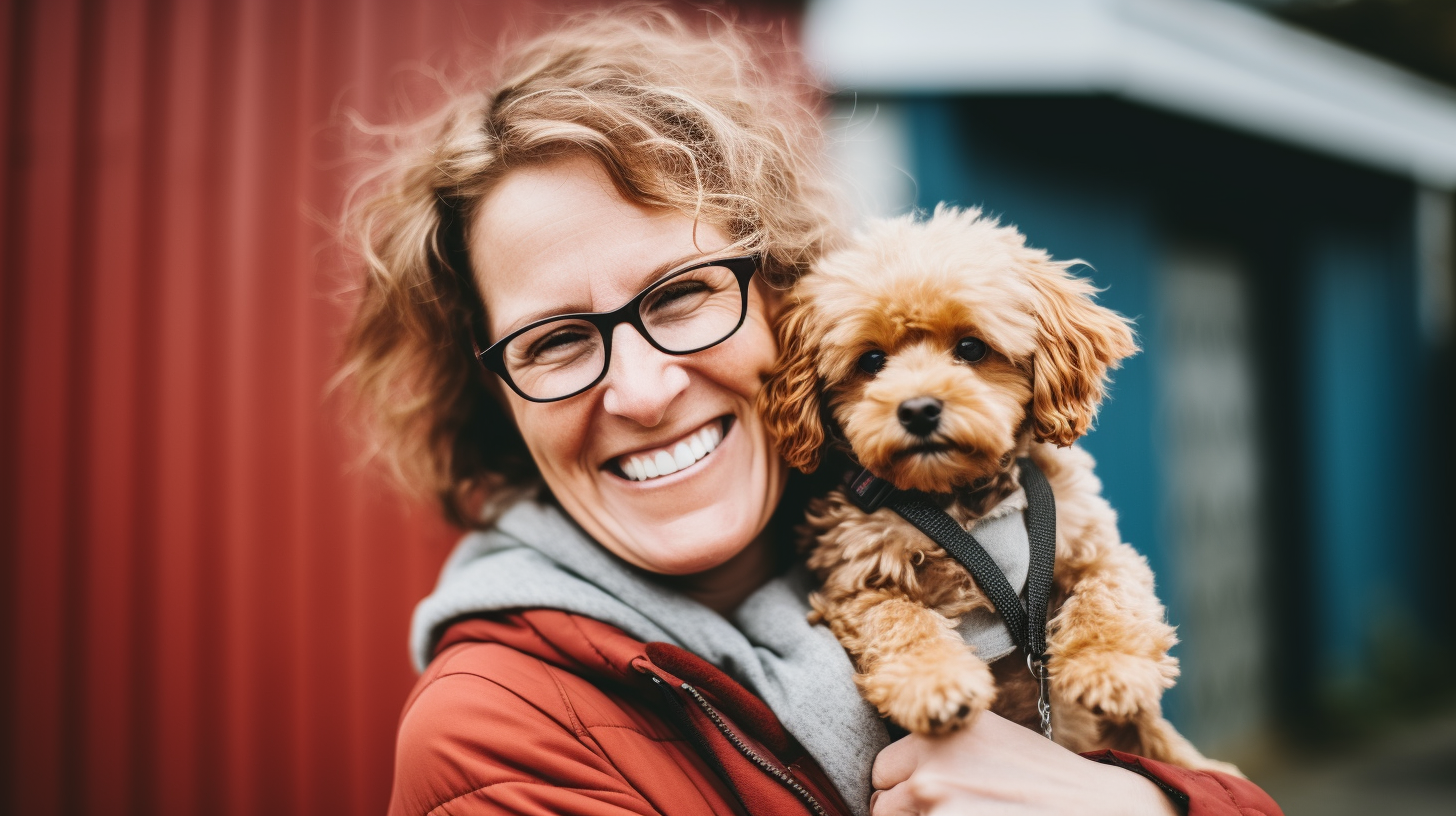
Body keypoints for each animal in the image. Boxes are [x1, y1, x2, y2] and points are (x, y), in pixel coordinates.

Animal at [762, 205, 1240, 769]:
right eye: (872, 361)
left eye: (971, 347)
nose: (918, 409)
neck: (964, 502)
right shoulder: (855, 582)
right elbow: (900, 619)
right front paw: (934, 682)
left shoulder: (1090, 543)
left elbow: (1108, 592)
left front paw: (1110, 667)